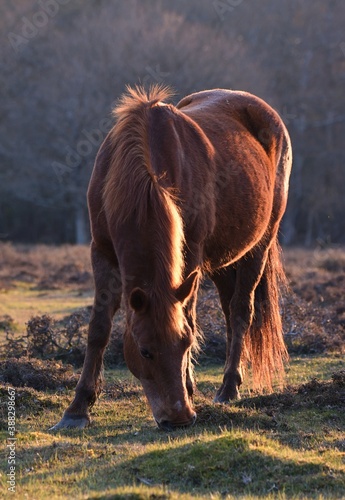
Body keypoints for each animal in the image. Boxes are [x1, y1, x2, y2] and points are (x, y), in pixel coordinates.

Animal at [52, 85, 292, 430]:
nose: (178, 417)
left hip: (258, 245)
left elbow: (189, 316)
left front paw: (190, 388)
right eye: (145, 351)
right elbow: (98, 327)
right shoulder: (102, 252)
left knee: (240, 311)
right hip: (223, 262)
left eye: (185, 344)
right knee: (229, 310)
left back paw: (228, 387)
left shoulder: (190, 253)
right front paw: (77, 409)